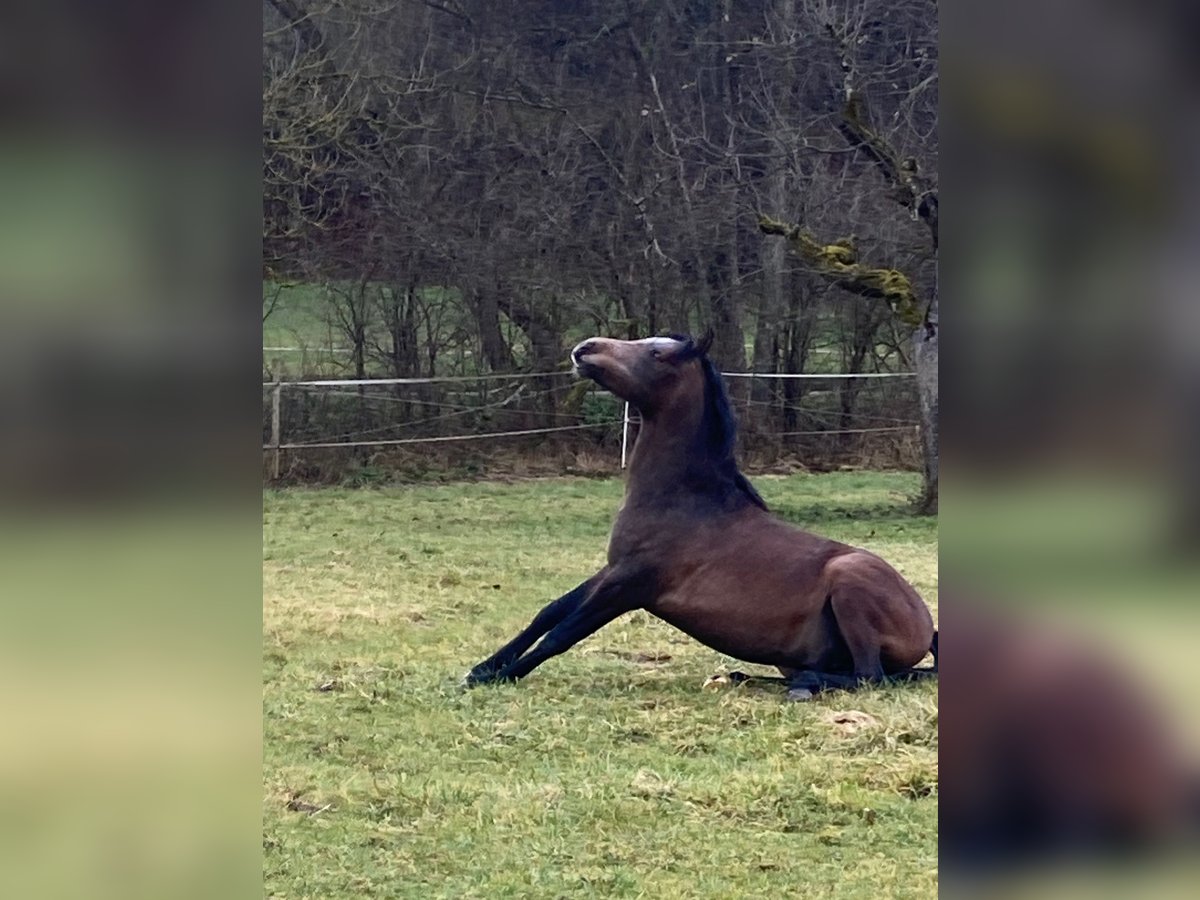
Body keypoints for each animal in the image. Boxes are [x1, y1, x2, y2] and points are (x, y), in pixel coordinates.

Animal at [463, 333, 931, 696]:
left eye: (657, 353)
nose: (584, 349)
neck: (685, 504)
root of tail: (927, 626)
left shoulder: (630, 585)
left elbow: (562, 634)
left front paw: (494, 679)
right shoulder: (613, 570)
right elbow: (550, 611)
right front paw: (481, 668)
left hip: (851, 583)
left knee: (869, 677)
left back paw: (798, 684)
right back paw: (742, 676)